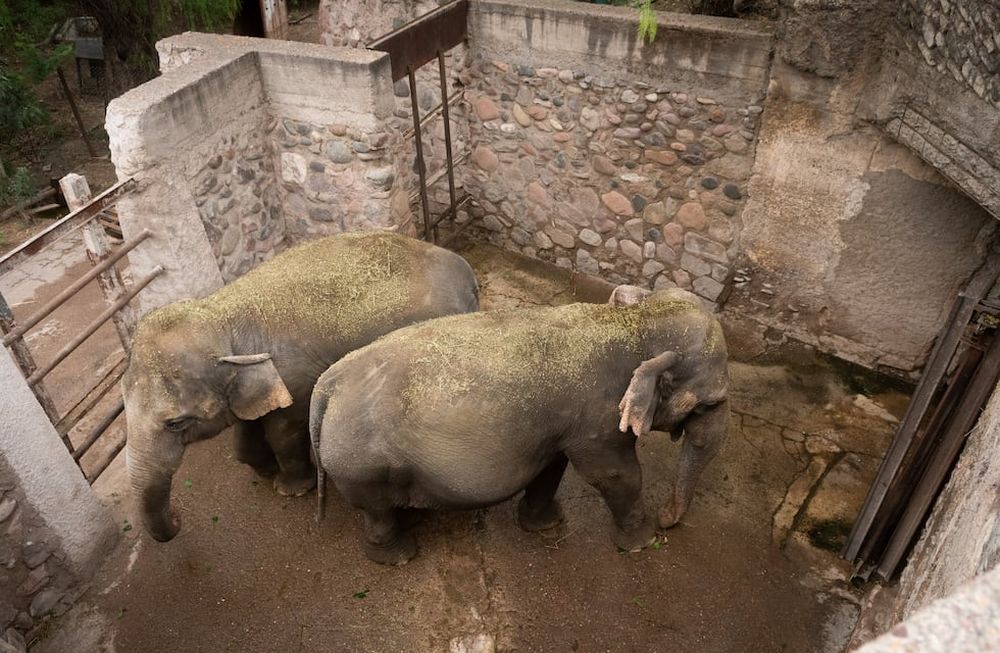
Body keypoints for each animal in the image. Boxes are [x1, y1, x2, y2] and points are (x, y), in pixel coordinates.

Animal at [123, 231, 479, 543]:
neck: (221, 314)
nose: (178, 517)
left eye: (175, 423)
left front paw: (290, 489)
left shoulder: (293, 378)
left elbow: (284, 431)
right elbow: (247, 427)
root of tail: (466, 270)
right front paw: (263, 470)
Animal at [310, 285, 729, 564]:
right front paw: (641, 544)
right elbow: (614, 474)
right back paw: (399, 556)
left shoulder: (564, 422)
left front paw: (545, 525)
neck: (633, 323)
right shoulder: (599, 417)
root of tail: (328, 384)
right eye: (710, 402)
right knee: (376, 510)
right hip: (362, 464)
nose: (667, 520)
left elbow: (553, 464)